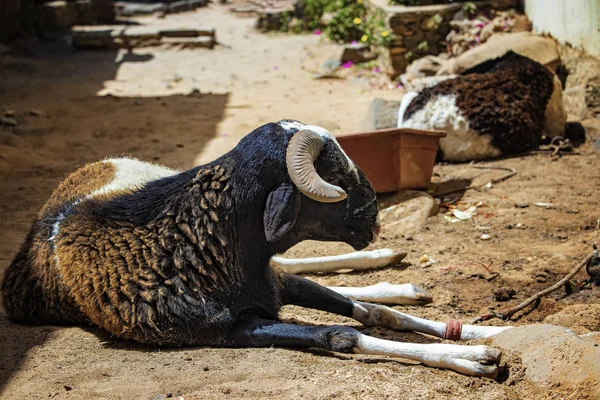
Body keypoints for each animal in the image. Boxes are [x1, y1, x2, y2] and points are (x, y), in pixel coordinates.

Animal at [3, 120, 510, 376]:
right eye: (335, 174)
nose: (375, 221)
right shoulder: (230, 329)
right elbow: (343, 334)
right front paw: (467, 358)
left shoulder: (269, 281)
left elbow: (371, 312)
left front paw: (486, 332)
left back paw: (390, 271)